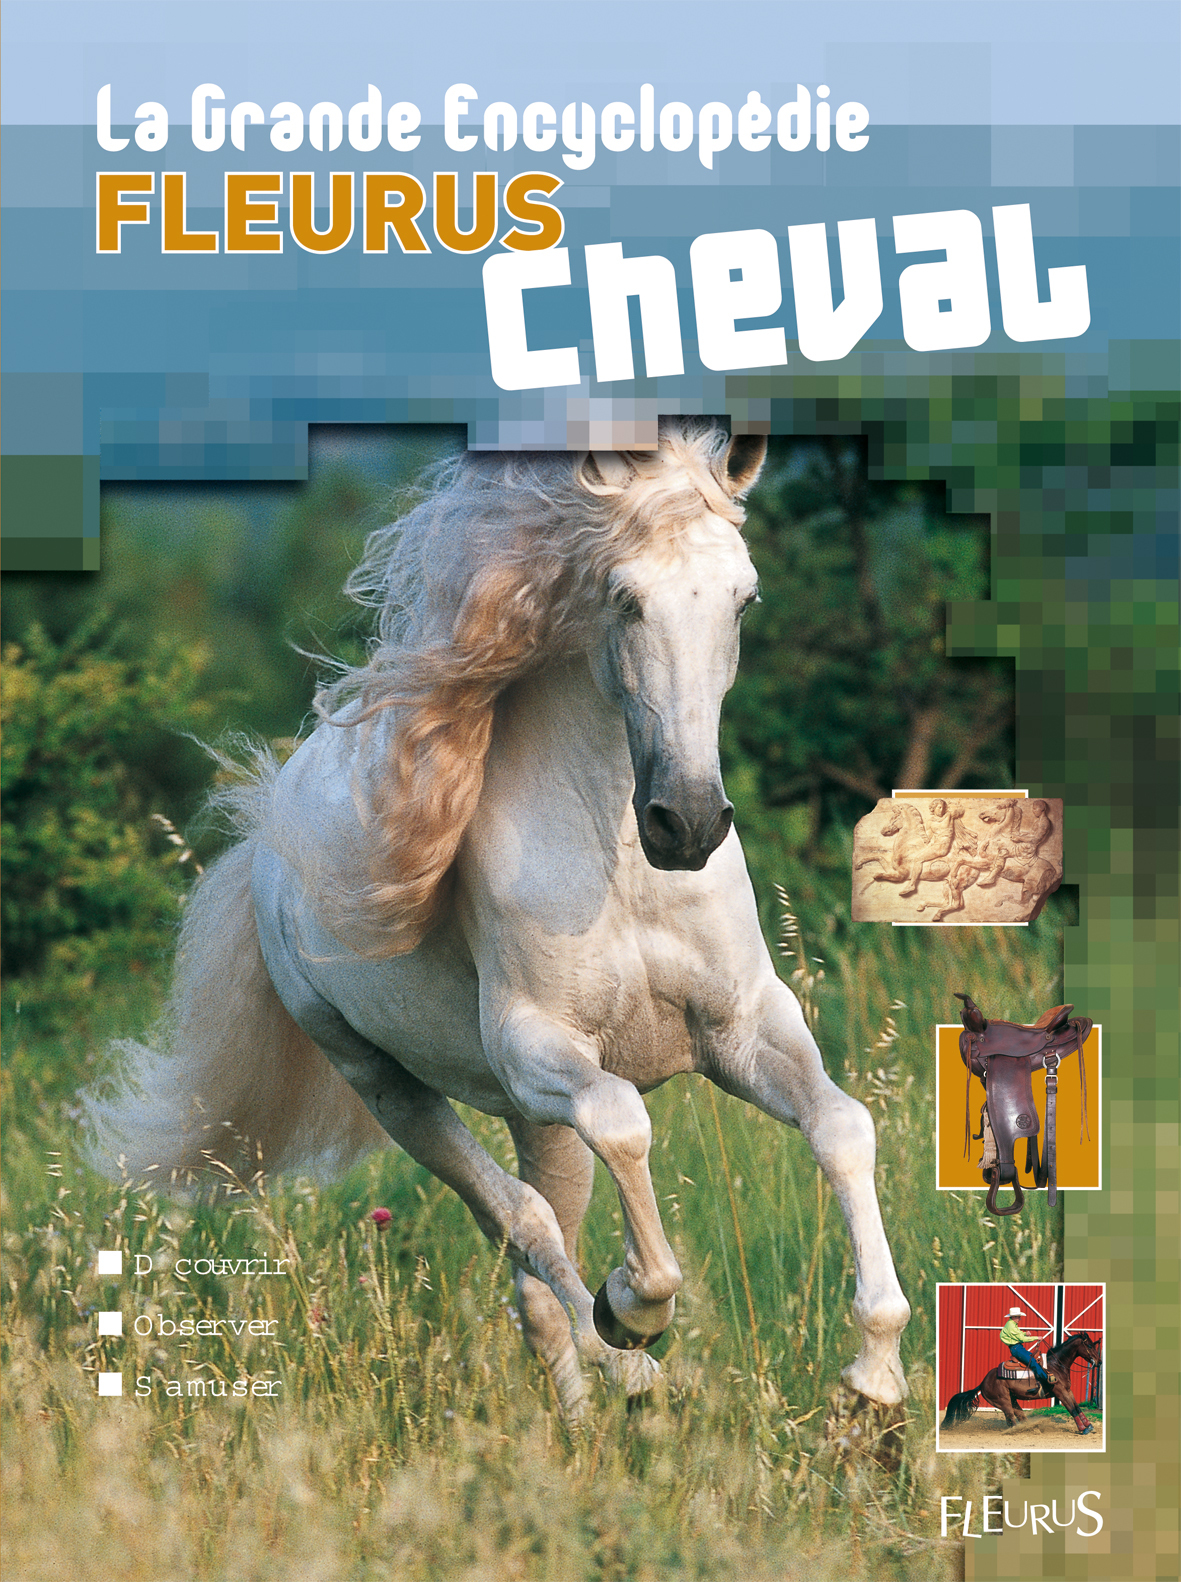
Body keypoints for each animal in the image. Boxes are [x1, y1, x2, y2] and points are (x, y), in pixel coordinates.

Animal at [93, 420, 910, 1421]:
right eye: (623, 598)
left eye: (743, 600)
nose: (685, 823)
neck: (619, 867)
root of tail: (266, 847)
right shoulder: (536, 1048)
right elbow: (626, 1126)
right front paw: (635, 1307)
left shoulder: (745, 1025)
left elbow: (842, 1128)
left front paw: (873, 1380)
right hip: (391, 1085)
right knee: (525, 1231)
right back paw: (623, 1364)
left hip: (536, 1123)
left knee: (536, 1265)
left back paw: (594, 1417)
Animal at [941, 1332, 1101, 1435]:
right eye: (1090, 1346)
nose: (1099, 1362)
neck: (1056, 1365)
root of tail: (982, 1383)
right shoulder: (1060, 1392)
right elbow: (1071, 1409)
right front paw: (1083, 1429)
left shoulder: (1068, 1390)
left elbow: (1077, 1407)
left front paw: (1089, 1425)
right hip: (1003, 1401)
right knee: (1011, 1418)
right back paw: (1019, 1430)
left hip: (1012, 1400)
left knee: (1019, 1416)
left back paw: (1031, 1428)